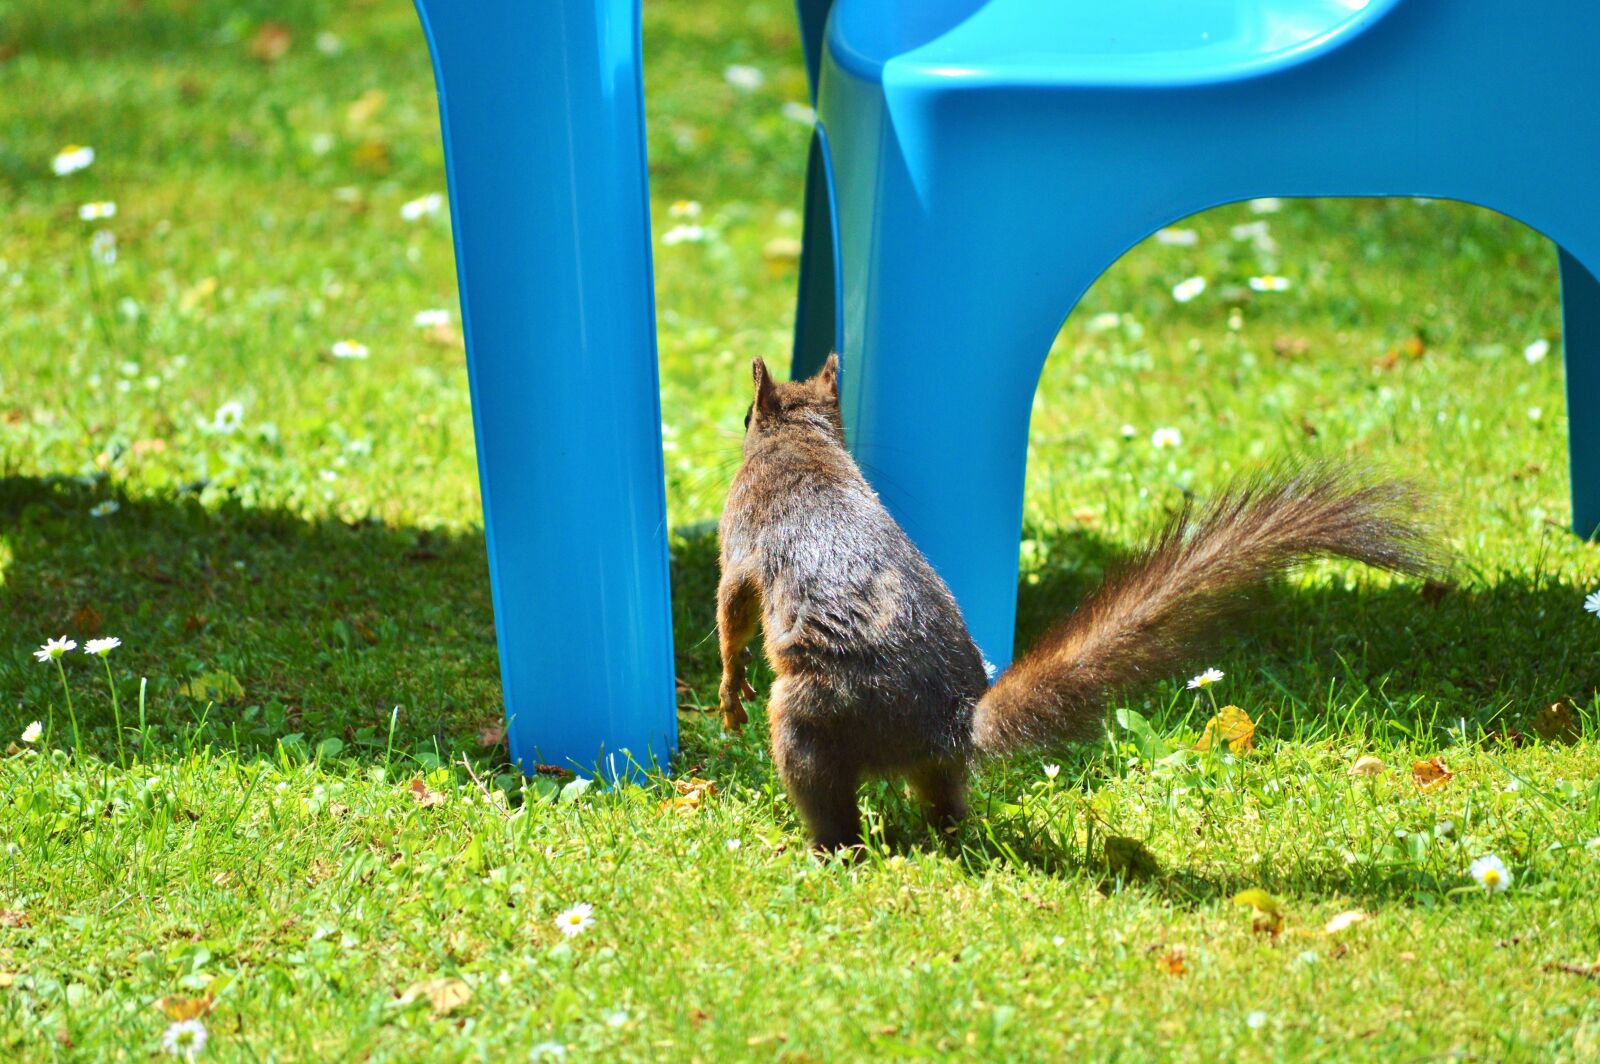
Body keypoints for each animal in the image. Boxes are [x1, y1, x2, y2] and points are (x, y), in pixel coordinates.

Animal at [716, 354, 1438, 851]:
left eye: (746, 416)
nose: (739, 421)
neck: (801, 442)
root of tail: (949, 722)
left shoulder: (743, 538)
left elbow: (731, 610)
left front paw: (728, 691)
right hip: (929, 767)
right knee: (945, 806)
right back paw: (948, 837)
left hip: (812, 718)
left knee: (833, 809)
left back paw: (820, 849)